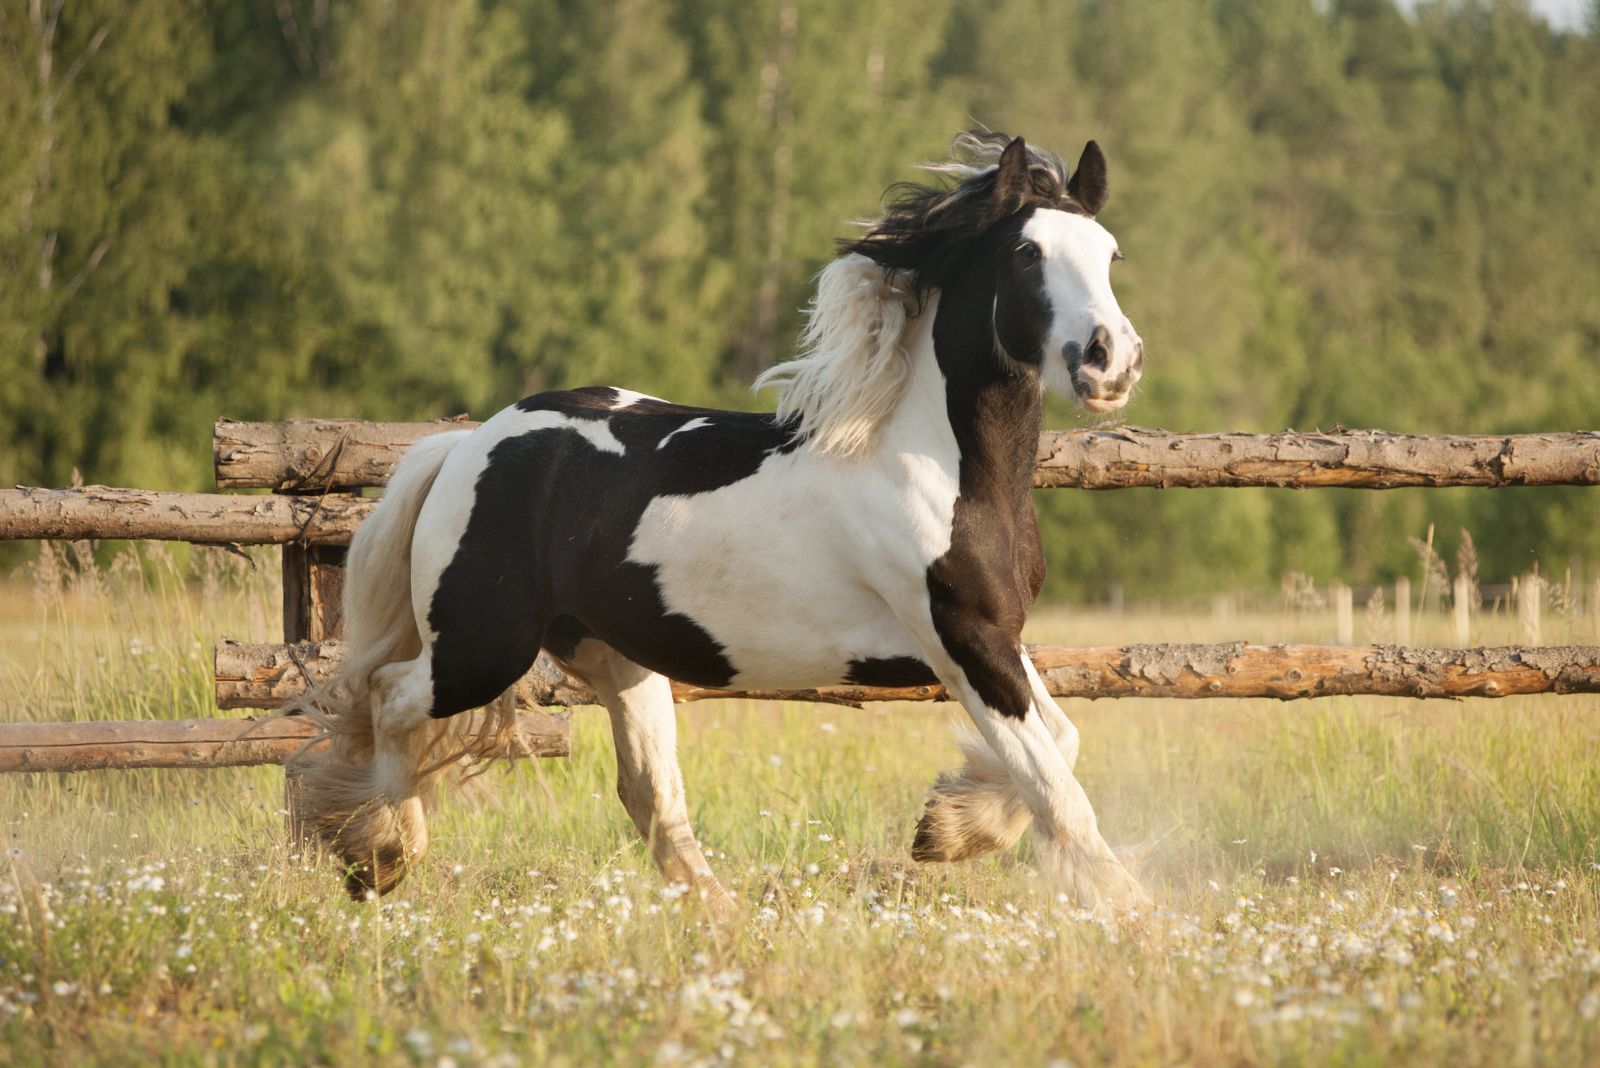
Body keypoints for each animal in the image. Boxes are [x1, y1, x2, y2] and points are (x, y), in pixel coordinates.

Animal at [294, 131, 1152, 920]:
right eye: (1027, 252)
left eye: (1109, 252)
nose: (1112, 361)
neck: (938, 466)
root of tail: (467, 444)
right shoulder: (961, 640)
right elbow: (1058, 788)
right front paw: (1129, 911)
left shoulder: (997, 640)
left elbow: (1062, 744)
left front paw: (949, 827)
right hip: (480, 649)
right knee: (387, 698)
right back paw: (379, 854)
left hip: (614, 654)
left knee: (646, 789)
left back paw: (717, 913)